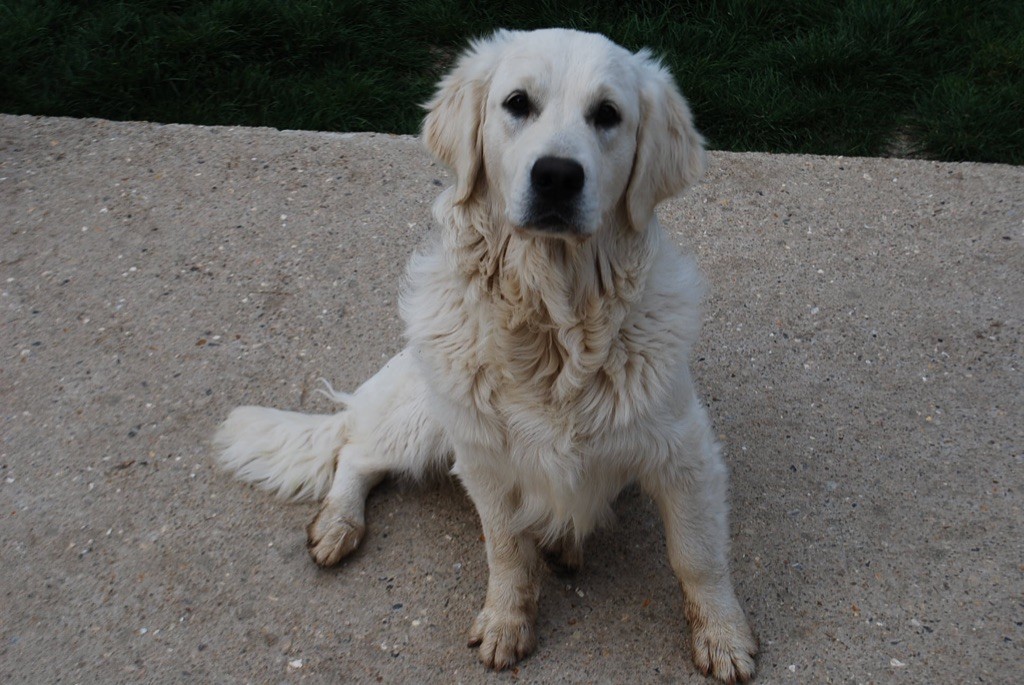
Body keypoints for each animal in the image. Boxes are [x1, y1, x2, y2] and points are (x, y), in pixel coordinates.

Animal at [216, 28, 757, 683]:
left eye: (608, 115)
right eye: (517, 103)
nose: (556, 176)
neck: (553, 328)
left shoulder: (685, 453)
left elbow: (697, 556)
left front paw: (722, 635)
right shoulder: (484, 457)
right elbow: (505, 552)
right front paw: (505, 622)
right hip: (426, 414)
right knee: (355, 451)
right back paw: (339, 524)